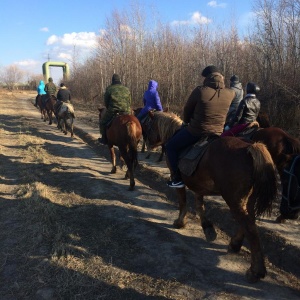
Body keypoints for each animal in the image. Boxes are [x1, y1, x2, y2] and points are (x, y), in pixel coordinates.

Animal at [144, 110, 278, 284]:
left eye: (149, 125)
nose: (147, 143)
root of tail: (251, 148)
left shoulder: (178, 179)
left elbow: (183, 201)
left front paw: (180, 222)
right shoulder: (198, 185)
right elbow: (199, 205)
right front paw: (207, 228)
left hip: (234, 200)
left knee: (250, 227)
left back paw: (256, 271)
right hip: (248, 199)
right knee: (250, 220)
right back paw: (235, 245)